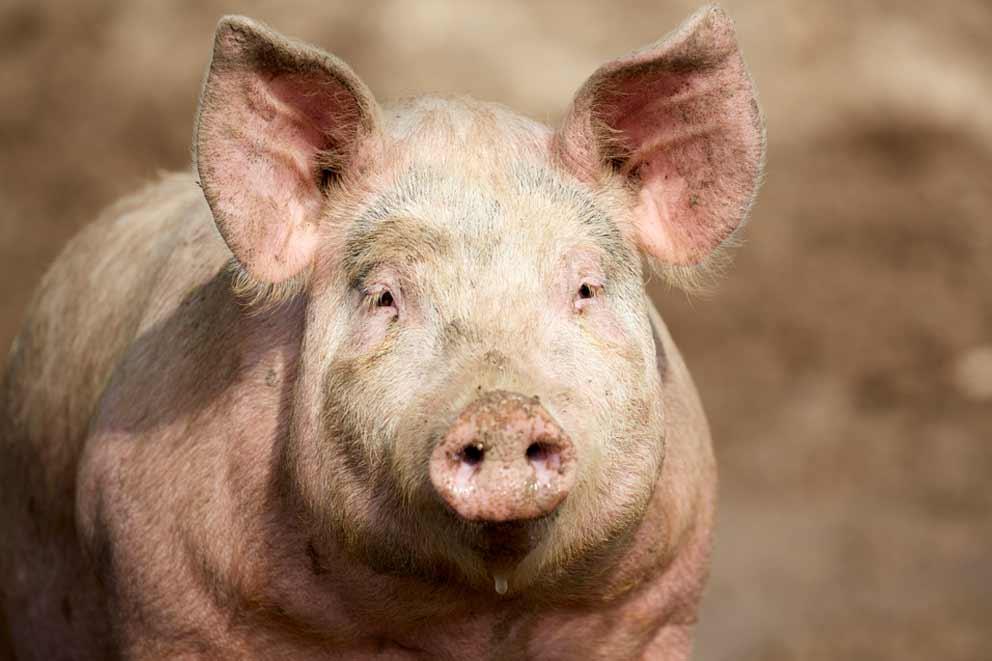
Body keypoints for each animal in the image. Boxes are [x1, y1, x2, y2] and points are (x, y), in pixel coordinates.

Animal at [0, 6, 764, 660]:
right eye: (385, 296)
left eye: (585, 289)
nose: (503, 407)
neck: (472, 619)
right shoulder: (171, 601)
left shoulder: (656, 602)